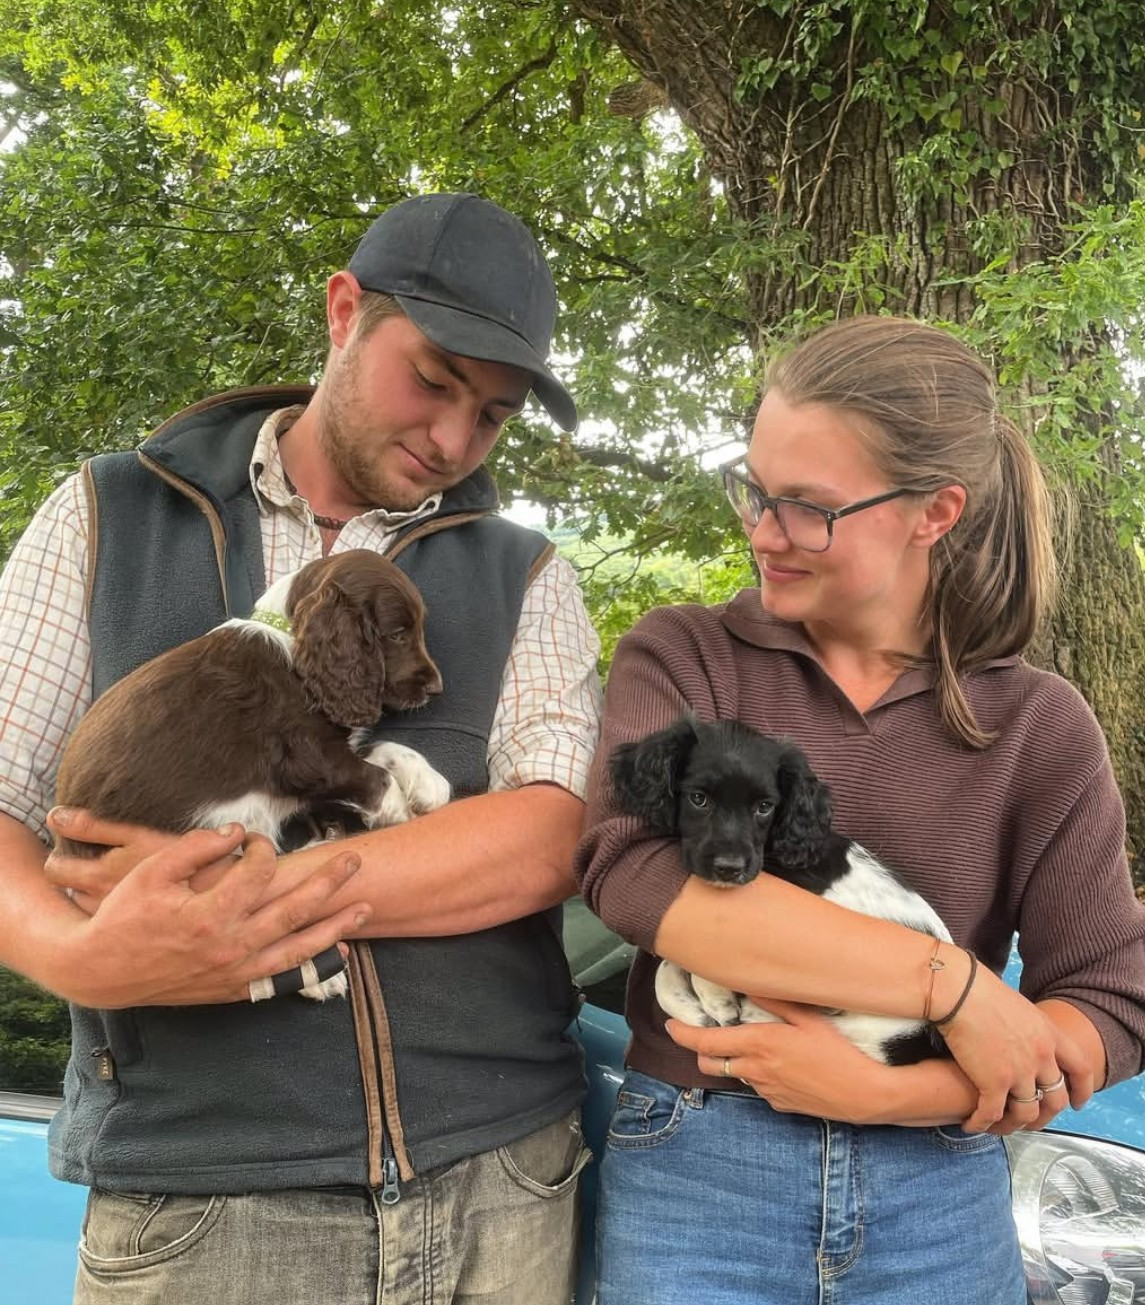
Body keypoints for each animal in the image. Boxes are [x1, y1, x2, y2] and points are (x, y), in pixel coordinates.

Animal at [54, 550, 451, 999]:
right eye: (397, 633)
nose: (436, 688)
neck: (293, 642)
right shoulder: (306, 756)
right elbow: (370, 775)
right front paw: (397, 809)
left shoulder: (331, 745)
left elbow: (380, 751)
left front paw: (427, 783)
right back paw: (317, 972)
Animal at [609, 716, 952, 1066]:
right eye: (698, 798)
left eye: (764, 807)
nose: (729, 868)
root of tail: (924, 1038)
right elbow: (669, 966)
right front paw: (693, 1007)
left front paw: (716, 998)